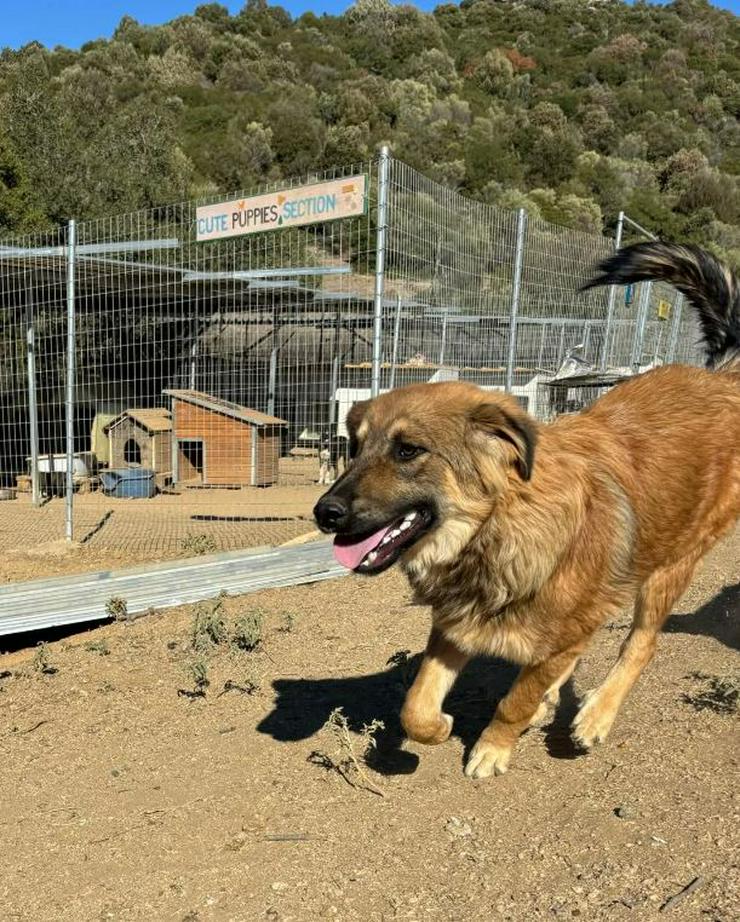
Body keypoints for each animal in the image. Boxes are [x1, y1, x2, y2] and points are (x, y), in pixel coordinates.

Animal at [314, 241, 740, 772]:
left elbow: (514, 699)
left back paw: (594, 717)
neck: (495, 529)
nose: (324, 513)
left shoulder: (553, 626)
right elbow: (416, 705)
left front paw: (493, 748)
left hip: (672, 566)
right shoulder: (457, 622)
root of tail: (720, 379)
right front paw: (441, 727)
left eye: (408, 451)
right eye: (355, 446)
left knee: (641, 644)